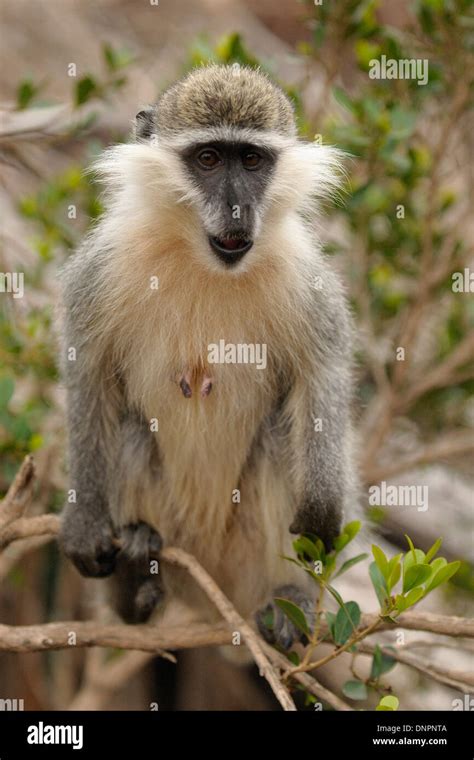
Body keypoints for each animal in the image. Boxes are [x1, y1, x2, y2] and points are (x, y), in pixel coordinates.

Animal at [59, 65, 356, 648]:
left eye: (252, 160)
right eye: (209, 159)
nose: (239, 208)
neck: (204, 261)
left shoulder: (302, 272)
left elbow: (323, 368)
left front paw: (322, 503)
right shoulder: (104, 267)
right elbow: (88, 370)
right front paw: (83, 523)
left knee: (280, 437)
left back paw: (291, 597)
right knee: (128, 429)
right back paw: (134, 585)